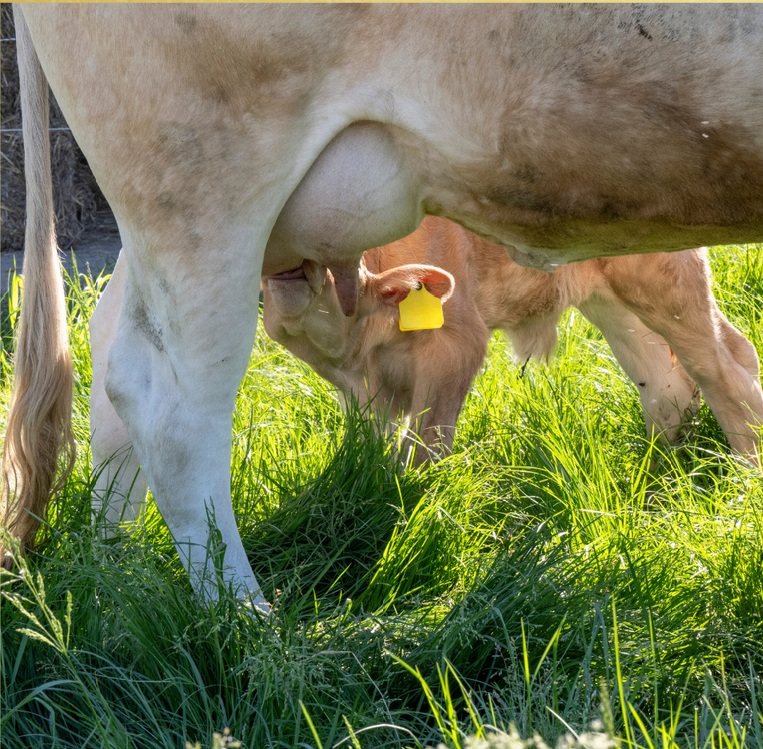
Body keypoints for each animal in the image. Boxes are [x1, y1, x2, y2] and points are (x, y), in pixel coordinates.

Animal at [263, 216, 763, 466]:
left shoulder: (456, 343)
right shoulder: (356, 391)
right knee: (667, 384)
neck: (361, 355)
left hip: (663, 278)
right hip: (613, 299)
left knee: (723, 370)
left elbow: (422, 448)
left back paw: (745, 474)